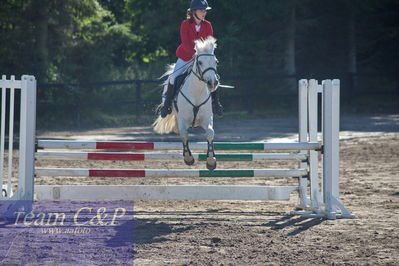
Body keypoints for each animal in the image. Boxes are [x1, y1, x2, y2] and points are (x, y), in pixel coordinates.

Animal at [154, 36, 222, 170]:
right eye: (200, 62)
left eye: (216, 62)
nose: (212, 83)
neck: (196, 91)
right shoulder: (182, 119)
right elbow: (184, 134)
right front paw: (188, 158)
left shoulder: (207, 118)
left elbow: (210, 133)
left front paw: (211, 160)